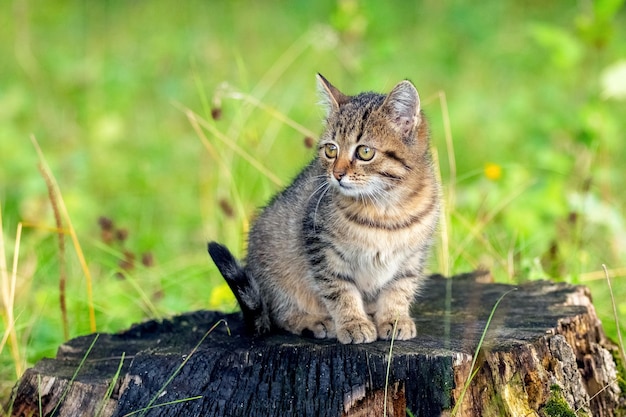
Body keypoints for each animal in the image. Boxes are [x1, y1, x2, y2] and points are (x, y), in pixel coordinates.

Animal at [208, 74, 438, 342]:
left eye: (365, 152)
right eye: (331, 149)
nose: (337, 174)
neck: (386, 207)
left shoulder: (412, 256)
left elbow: (399, 288)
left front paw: (394, 318)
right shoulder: (322, 248)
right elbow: (340, 291)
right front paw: (353, 323)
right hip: (274, 270)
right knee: (279, 315)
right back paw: (313, 321)